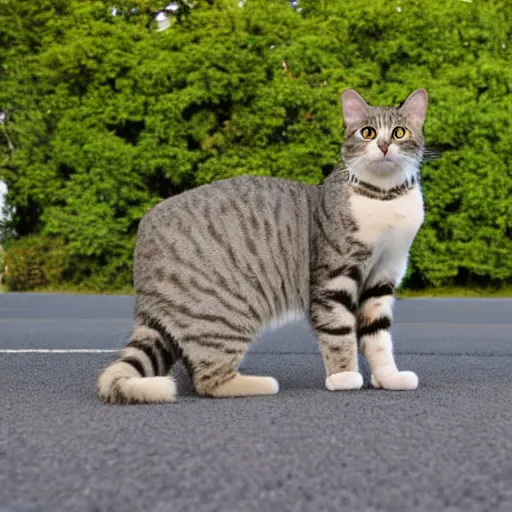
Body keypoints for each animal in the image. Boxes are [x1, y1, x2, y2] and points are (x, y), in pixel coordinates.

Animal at [97, 88, 428, 404]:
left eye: (399, 133)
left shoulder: (383, 276)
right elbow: (339, 330)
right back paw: (263, 383)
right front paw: (344, 376)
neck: (384, 196)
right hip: (226, 314)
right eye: (368, 133)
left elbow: (377, 335)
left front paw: (388, 377)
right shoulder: (335, 276)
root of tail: (144, 235)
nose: (383, 145)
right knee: (208, 379)